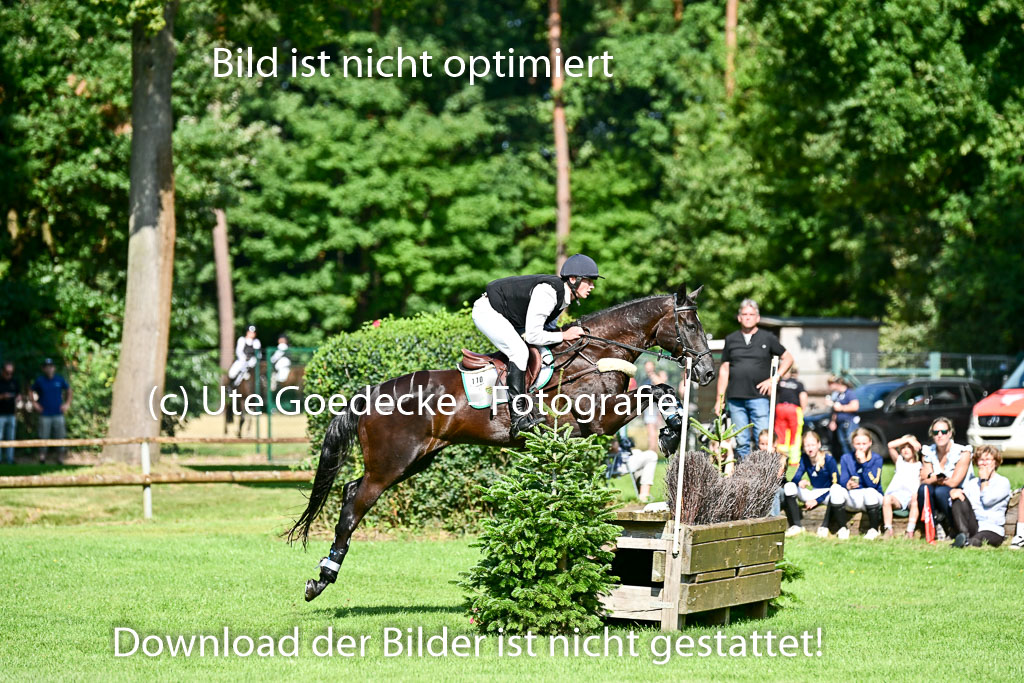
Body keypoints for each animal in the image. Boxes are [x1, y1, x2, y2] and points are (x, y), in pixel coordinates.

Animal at [290, 284, 717, 602]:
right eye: (690, 325)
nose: (709, 372)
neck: (597, 351)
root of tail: (370, 393)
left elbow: (661, 390)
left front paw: (673, 429)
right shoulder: (599, 419)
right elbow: (656, 389)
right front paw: (671, 431)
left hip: (413, 461)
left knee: (349, 490)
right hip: (389, 465)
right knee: (353, 507)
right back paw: (322, 579)